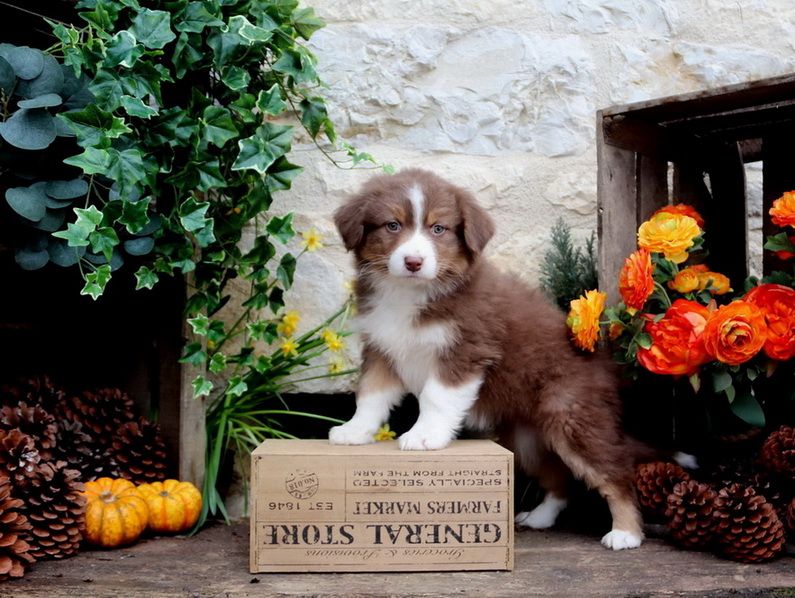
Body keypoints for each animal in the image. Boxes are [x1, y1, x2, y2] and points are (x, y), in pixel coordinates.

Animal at [328, 168, 644, 550]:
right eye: (392, 225)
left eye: (438, 229)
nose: (414, 262)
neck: (411, 293)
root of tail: (605, 366)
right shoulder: (382, 348)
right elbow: (370, 396)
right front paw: (354, 430)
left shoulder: (465, 350)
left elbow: (435, 397)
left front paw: (424, 436)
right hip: (527, 439)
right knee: (558, 477)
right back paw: (540, 516)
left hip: (573, 419)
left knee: (615, 472)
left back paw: (626, 533)